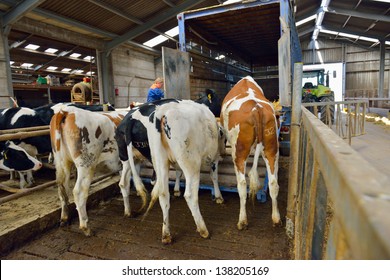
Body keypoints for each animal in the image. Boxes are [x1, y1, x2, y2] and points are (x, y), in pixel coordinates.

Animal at [49, 106, 125, 235]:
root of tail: (66, 111)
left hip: (61, 162)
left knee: (62, 190)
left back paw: (64, 219)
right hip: (86, 164)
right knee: (79, 191)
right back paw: (85, 226)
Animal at [219, 75, 280, 230]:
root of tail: (256, 108)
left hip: (239, 154)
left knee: (242, 185)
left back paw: (242, 220)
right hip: (271, 149)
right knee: (273, 183)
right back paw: (276, 218)